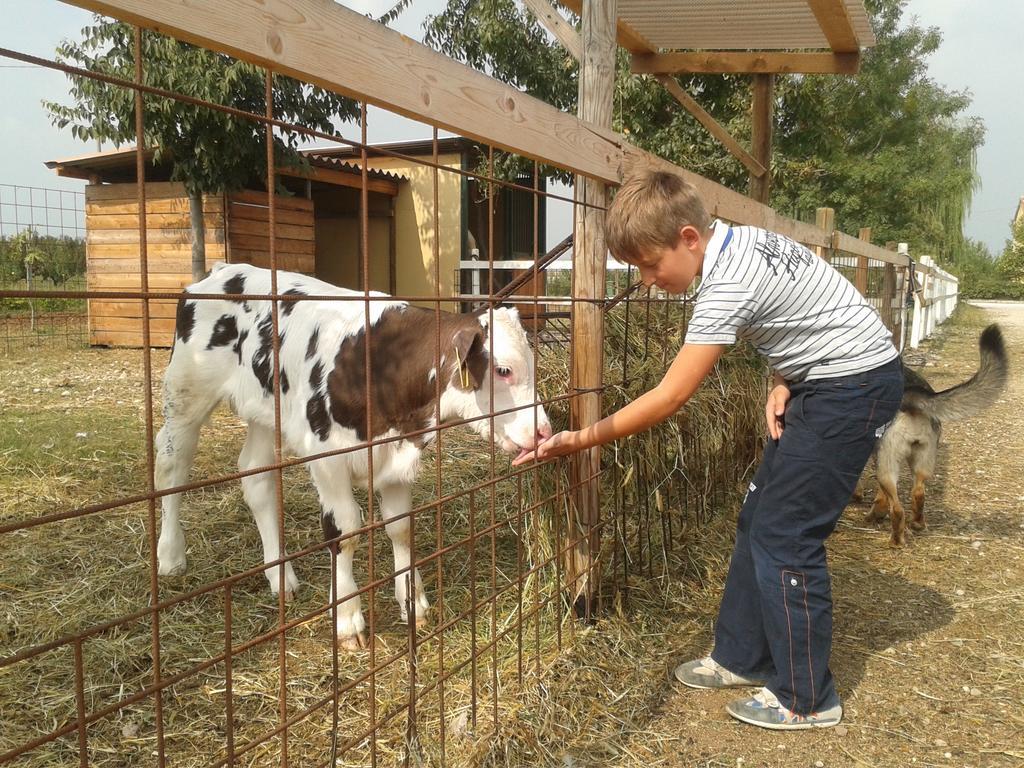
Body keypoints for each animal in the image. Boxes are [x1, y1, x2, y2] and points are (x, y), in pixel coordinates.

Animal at [152, 264, 552, 651]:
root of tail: (219, 271)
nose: (543, 431)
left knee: (255, 476)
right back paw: (170, 556)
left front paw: (413, 603)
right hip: (185, 392)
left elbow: (400, 527)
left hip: (264, 410)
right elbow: (344, 531)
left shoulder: (397, 462)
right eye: (503, 370)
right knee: (172, 468)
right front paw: (347, 620)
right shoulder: (327, 457)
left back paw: (281, 577)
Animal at [864, 325, 1007, 548]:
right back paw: (916, 523)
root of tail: (911, 396)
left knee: (897, 508)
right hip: (922, 461)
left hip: (886, 465)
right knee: (918, 493)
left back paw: (895, 538)